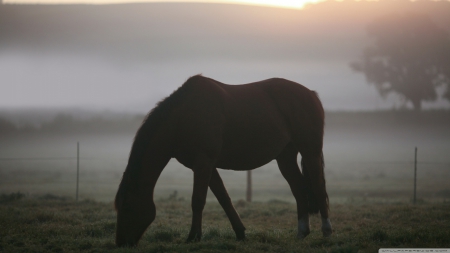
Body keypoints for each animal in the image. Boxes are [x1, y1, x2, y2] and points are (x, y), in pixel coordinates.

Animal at [113, 75, 330, 247]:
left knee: (318, 187)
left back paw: (326, 232)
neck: (183, 117)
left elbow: (198, 200)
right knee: (299, 189)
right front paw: (240, 233)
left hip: (310, 152)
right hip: (285, 157)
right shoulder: (205, 165)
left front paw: (193, 237)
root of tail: (311, 94)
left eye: (126, 207)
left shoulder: (204, 162)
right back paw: (302, 232)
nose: (121, 243)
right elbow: (223, 198)